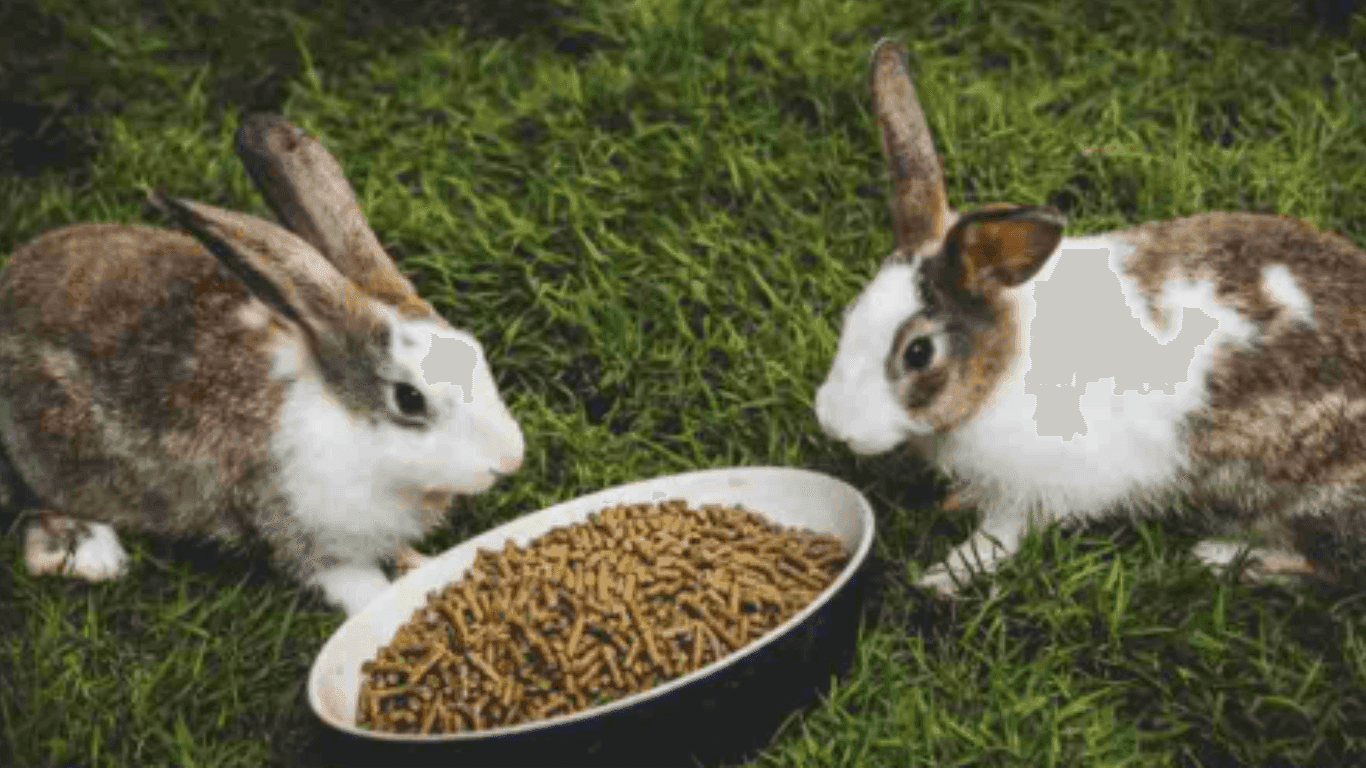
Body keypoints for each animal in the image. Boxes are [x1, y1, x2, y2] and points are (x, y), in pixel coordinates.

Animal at [0, 125, 524, 615]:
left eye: (476, 352)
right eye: (410, 399)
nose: (510, 459)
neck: (351, 426)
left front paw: (423, 564)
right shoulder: (305, 535)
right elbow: (356, 586)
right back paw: (88, 552)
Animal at [814, 38, 1366, 597]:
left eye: (918, 352)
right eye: (850, 316)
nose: (833, 423)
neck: (1003, 367)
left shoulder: (1037, 489)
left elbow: (999, 538)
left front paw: (941, 578)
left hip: (1308, 499)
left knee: (1328, 567)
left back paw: (1223, 557)